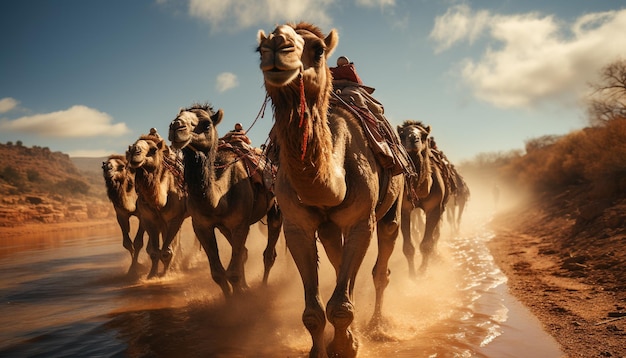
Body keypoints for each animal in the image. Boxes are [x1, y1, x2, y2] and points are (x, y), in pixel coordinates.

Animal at [125, 132, 188, 280]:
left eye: (153, 150)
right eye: (130, 148)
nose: (135, 152)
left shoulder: (175, 218)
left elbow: (166, 251)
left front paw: (165, 275)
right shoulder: (149, 220)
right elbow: (154, 252)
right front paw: (152, 275)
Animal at [167, 103, 282, 296]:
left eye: (206, 124)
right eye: (176, 117)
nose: (176, 127)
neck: (219, 200)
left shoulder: (240, 225)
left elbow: (233, 273)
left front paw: (237, 300)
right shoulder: (202, 226)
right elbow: (219, 274)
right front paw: (234, 295)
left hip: (275, 208)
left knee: (269, 253)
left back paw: (263, 287)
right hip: (224, 228)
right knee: (244, 252)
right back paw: (247, 285)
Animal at [256, 23, 402, 358]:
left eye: (318, 49)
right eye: (260, 48)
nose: (277, 49)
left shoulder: (362, 222)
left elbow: (340, 306)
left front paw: (347, 346)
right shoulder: (296, 226)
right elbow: (313, 312)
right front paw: (331, 346)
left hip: (392, 206)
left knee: (382, 263)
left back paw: (377, 325)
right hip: (328, 228)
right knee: (337, 262)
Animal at [398, 120, 446, 276]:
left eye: (424, 135)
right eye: (402, 134)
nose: (414, 139)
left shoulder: (434, 208)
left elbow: (426, 244)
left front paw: (422, 271)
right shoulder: (404, 210)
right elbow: (408, 247)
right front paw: (412, 275)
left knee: (435, 234)